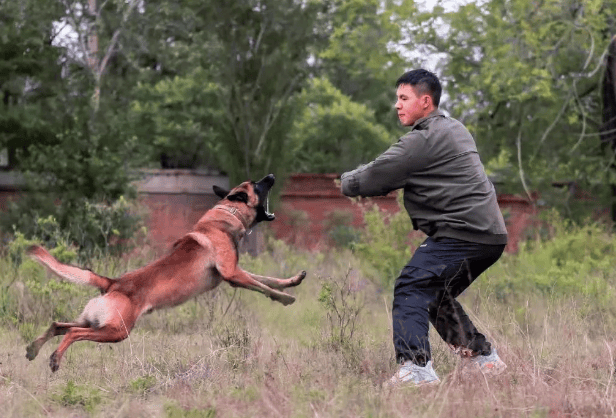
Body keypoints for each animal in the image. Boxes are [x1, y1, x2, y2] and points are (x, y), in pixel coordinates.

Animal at [25, 174, 306, 372]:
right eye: (257, 185)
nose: (271, 175)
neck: (226, 217)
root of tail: (113, 282)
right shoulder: (232, 273)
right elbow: (263, 285)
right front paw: (285, 298)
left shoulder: (237, 274)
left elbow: (268, 280)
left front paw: (292, 282)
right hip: (116, 331)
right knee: (71, 333)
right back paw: (54, 358)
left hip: (95, 322)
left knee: (58, 325)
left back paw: (33, 349)